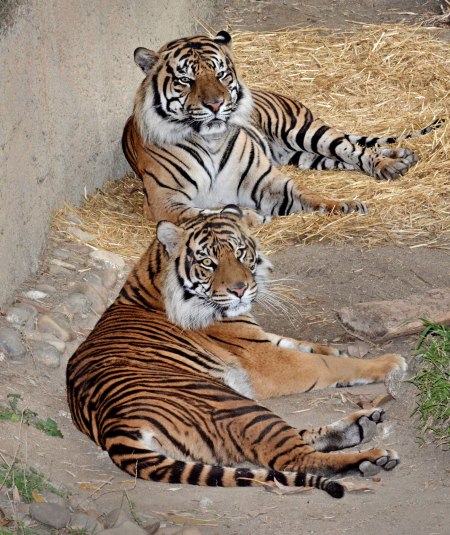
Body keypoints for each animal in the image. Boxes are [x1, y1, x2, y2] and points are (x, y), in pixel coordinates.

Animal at [67, 207, 408, 500]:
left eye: (241, 253)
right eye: (208, 262)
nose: (240, 289)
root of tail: (113, 430)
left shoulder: (261, 339)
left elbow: (304, 344)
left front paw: (347, 346)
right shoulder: (267, 361)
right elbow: (328, 364)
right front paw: (390, 362)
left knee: (296, 439)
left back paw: (363, 424)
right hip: (236, 405)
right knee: (295, 456)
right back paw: (371, 457)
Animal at [121, 31, 442, 224]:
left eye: (221, 74)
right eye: (186, 80)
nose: (215, 104)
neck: (211, 141)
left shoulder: (264, 182)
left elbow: (308, 196)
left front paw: (345, 206)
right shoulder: (165, 202)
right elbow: (208, 214)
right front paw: (251, 217)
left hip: (305, 132)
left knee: (353, 149)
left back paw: (392, 164)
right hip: (302, 156)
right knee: (344, 158)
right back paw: (402, 157)